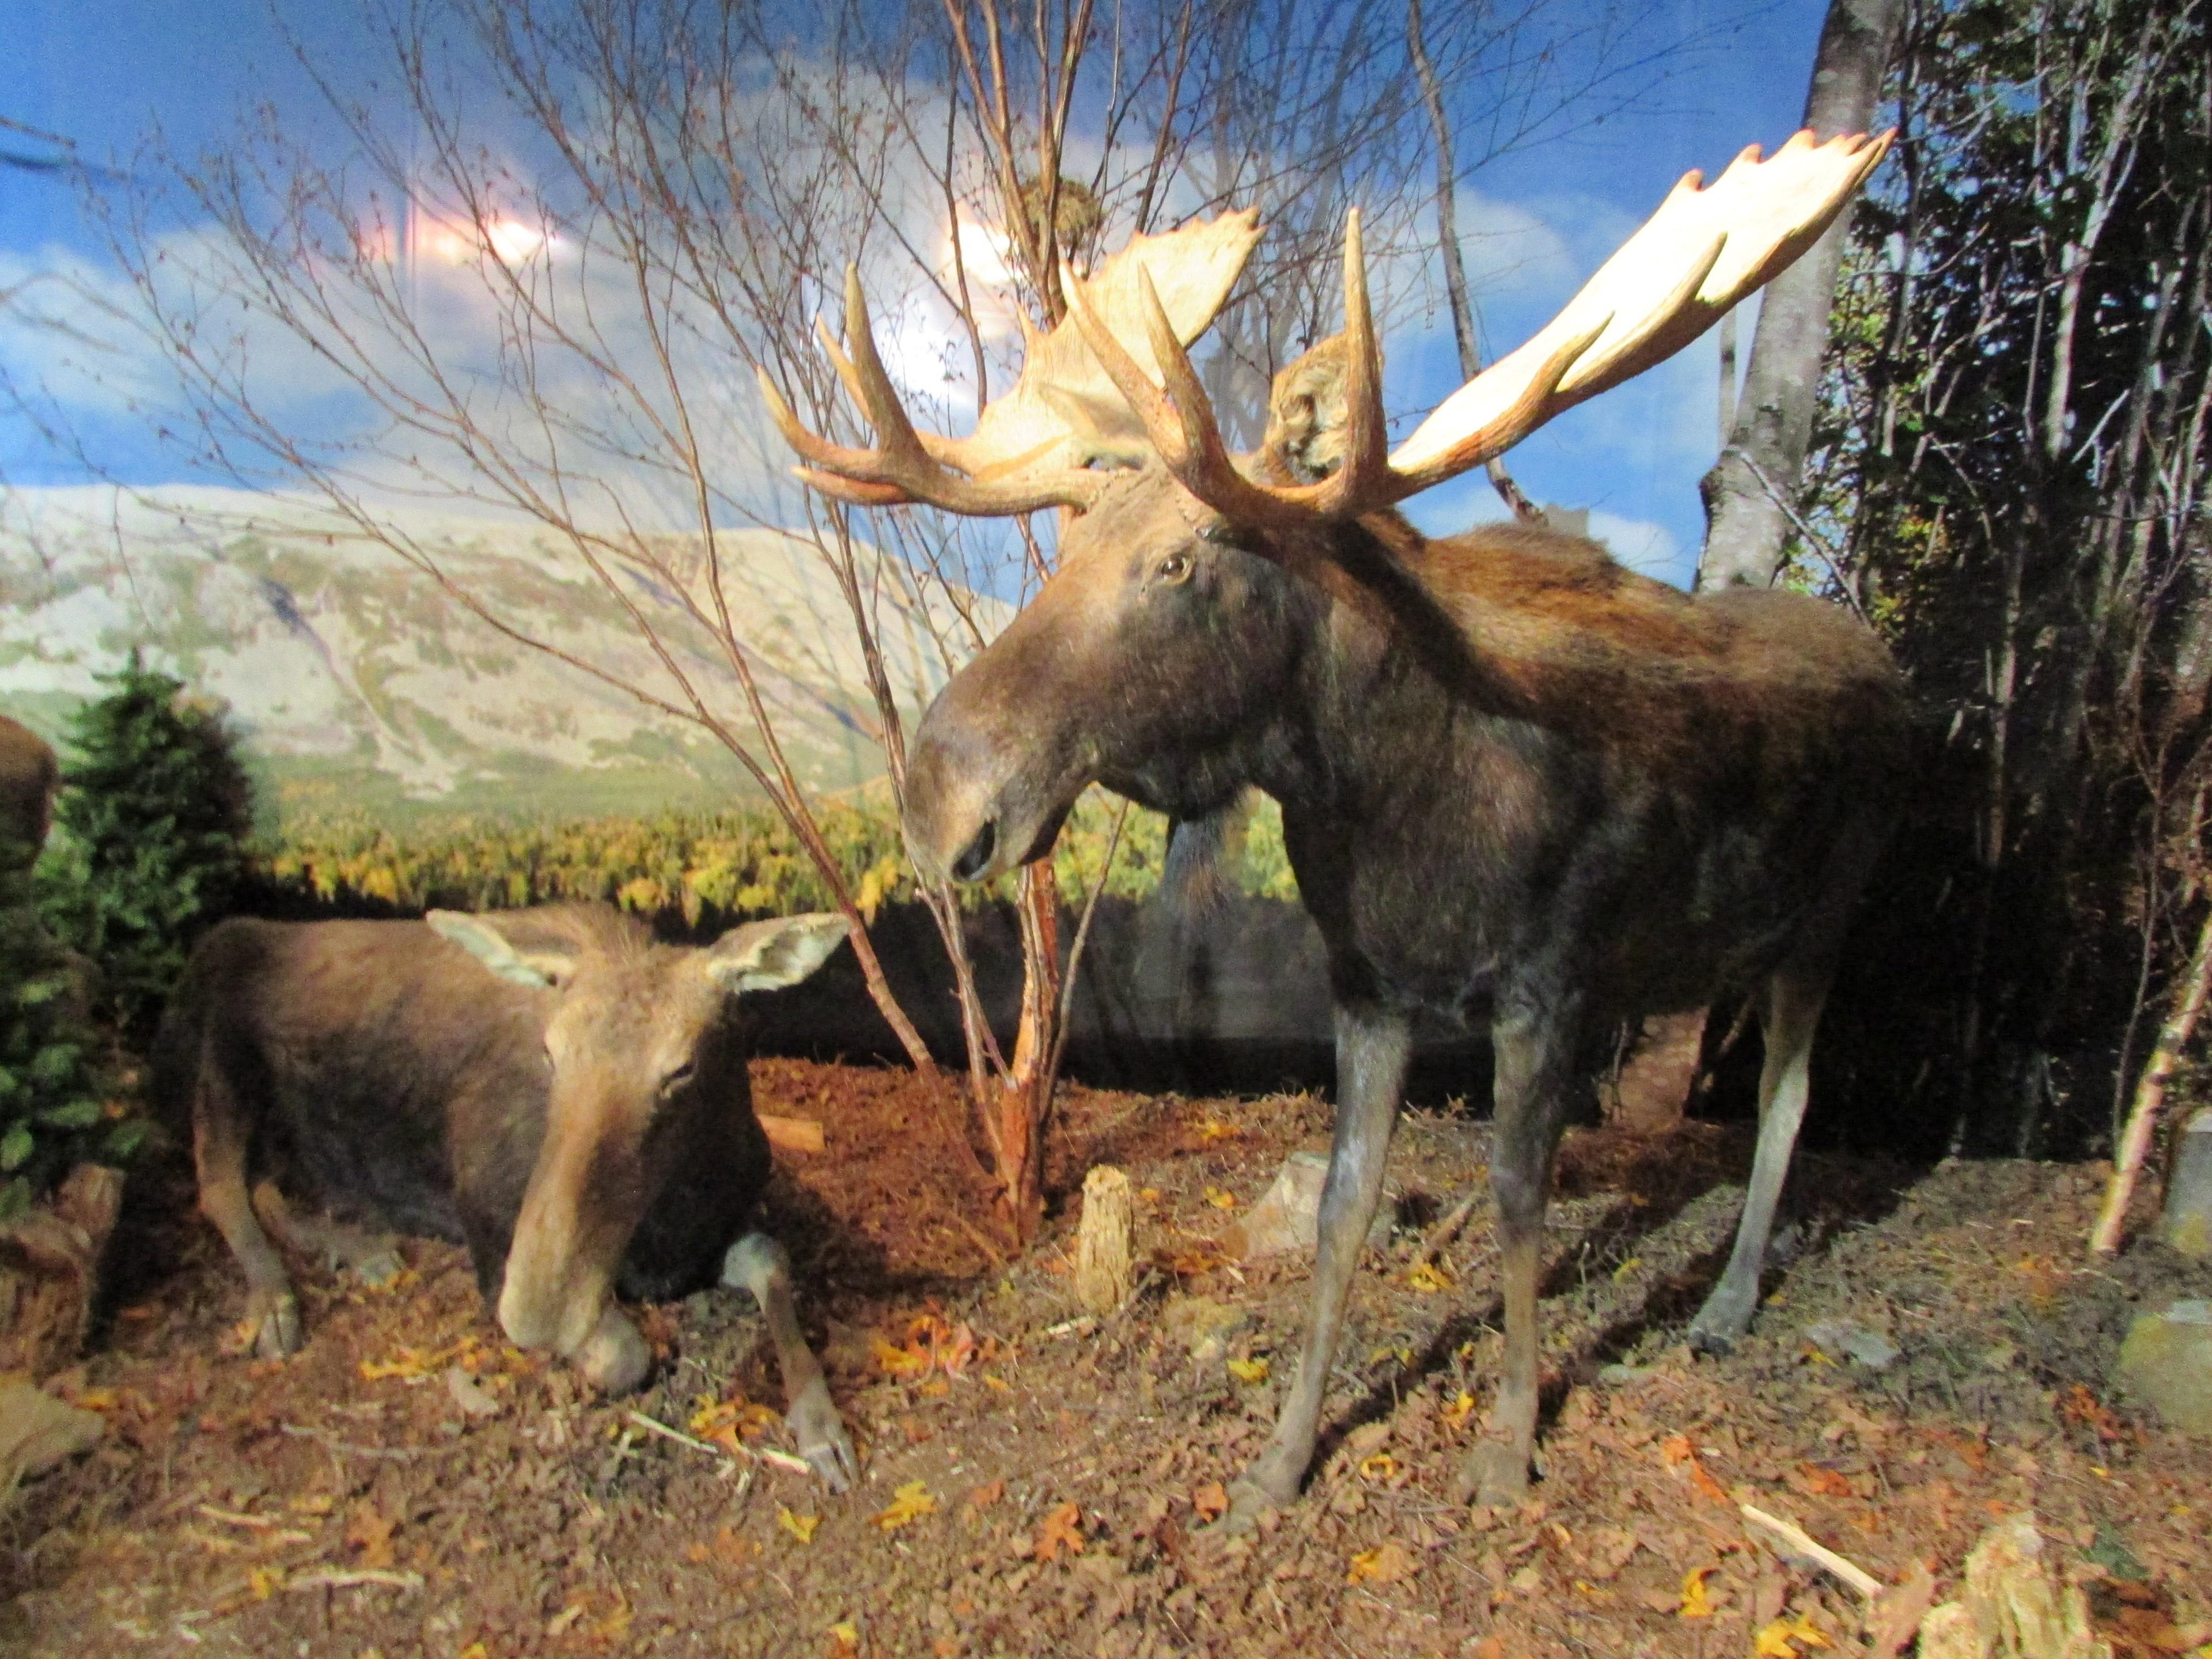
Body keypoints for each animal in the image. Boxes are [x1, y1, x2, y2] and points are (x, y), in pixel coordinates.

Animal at [151, 911, 858, 1495]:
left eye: (681, 1068)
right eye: (551, 1050)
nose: (540, 1307)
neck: (678, 1211)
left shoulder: (714, 1235)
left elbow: (771, 1260)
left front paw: (821, 1427)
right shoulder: (491, 1244)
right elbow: (625, 1354)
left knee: (265, 1185)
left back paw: (356, 1247)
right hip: (218, 1073)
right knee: (217, 1184)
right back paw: (276, 1302)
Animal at [765, 130, 1902, 1531]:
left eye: (1184, 563)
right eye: (1065, 548)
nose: (940, 799)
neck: (1398, 817)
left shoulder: (1552, 988)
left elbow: (1519, 1205)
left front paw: (1509, 1442)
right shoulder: (1368, 990)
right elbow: (1344, 1211)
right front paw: (1281, 1459)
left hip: (1830, 919)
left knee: (1790, 1094)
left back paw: (1734, 1301)